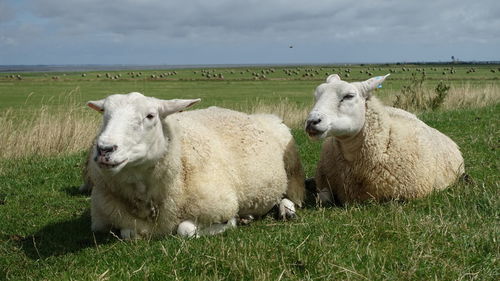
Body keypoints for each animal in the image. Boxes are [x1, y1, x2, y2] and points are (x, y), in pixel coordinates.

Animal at [84, 92, 302, 238]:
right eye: (104, 113)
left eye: (150, 116)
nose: (104, 149)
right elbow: (128, 233)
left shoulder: (221, 204)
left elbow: (185, 230)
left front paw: (230, 223)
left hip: (291, 168)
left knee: (288, 194)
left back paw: (286, 209)